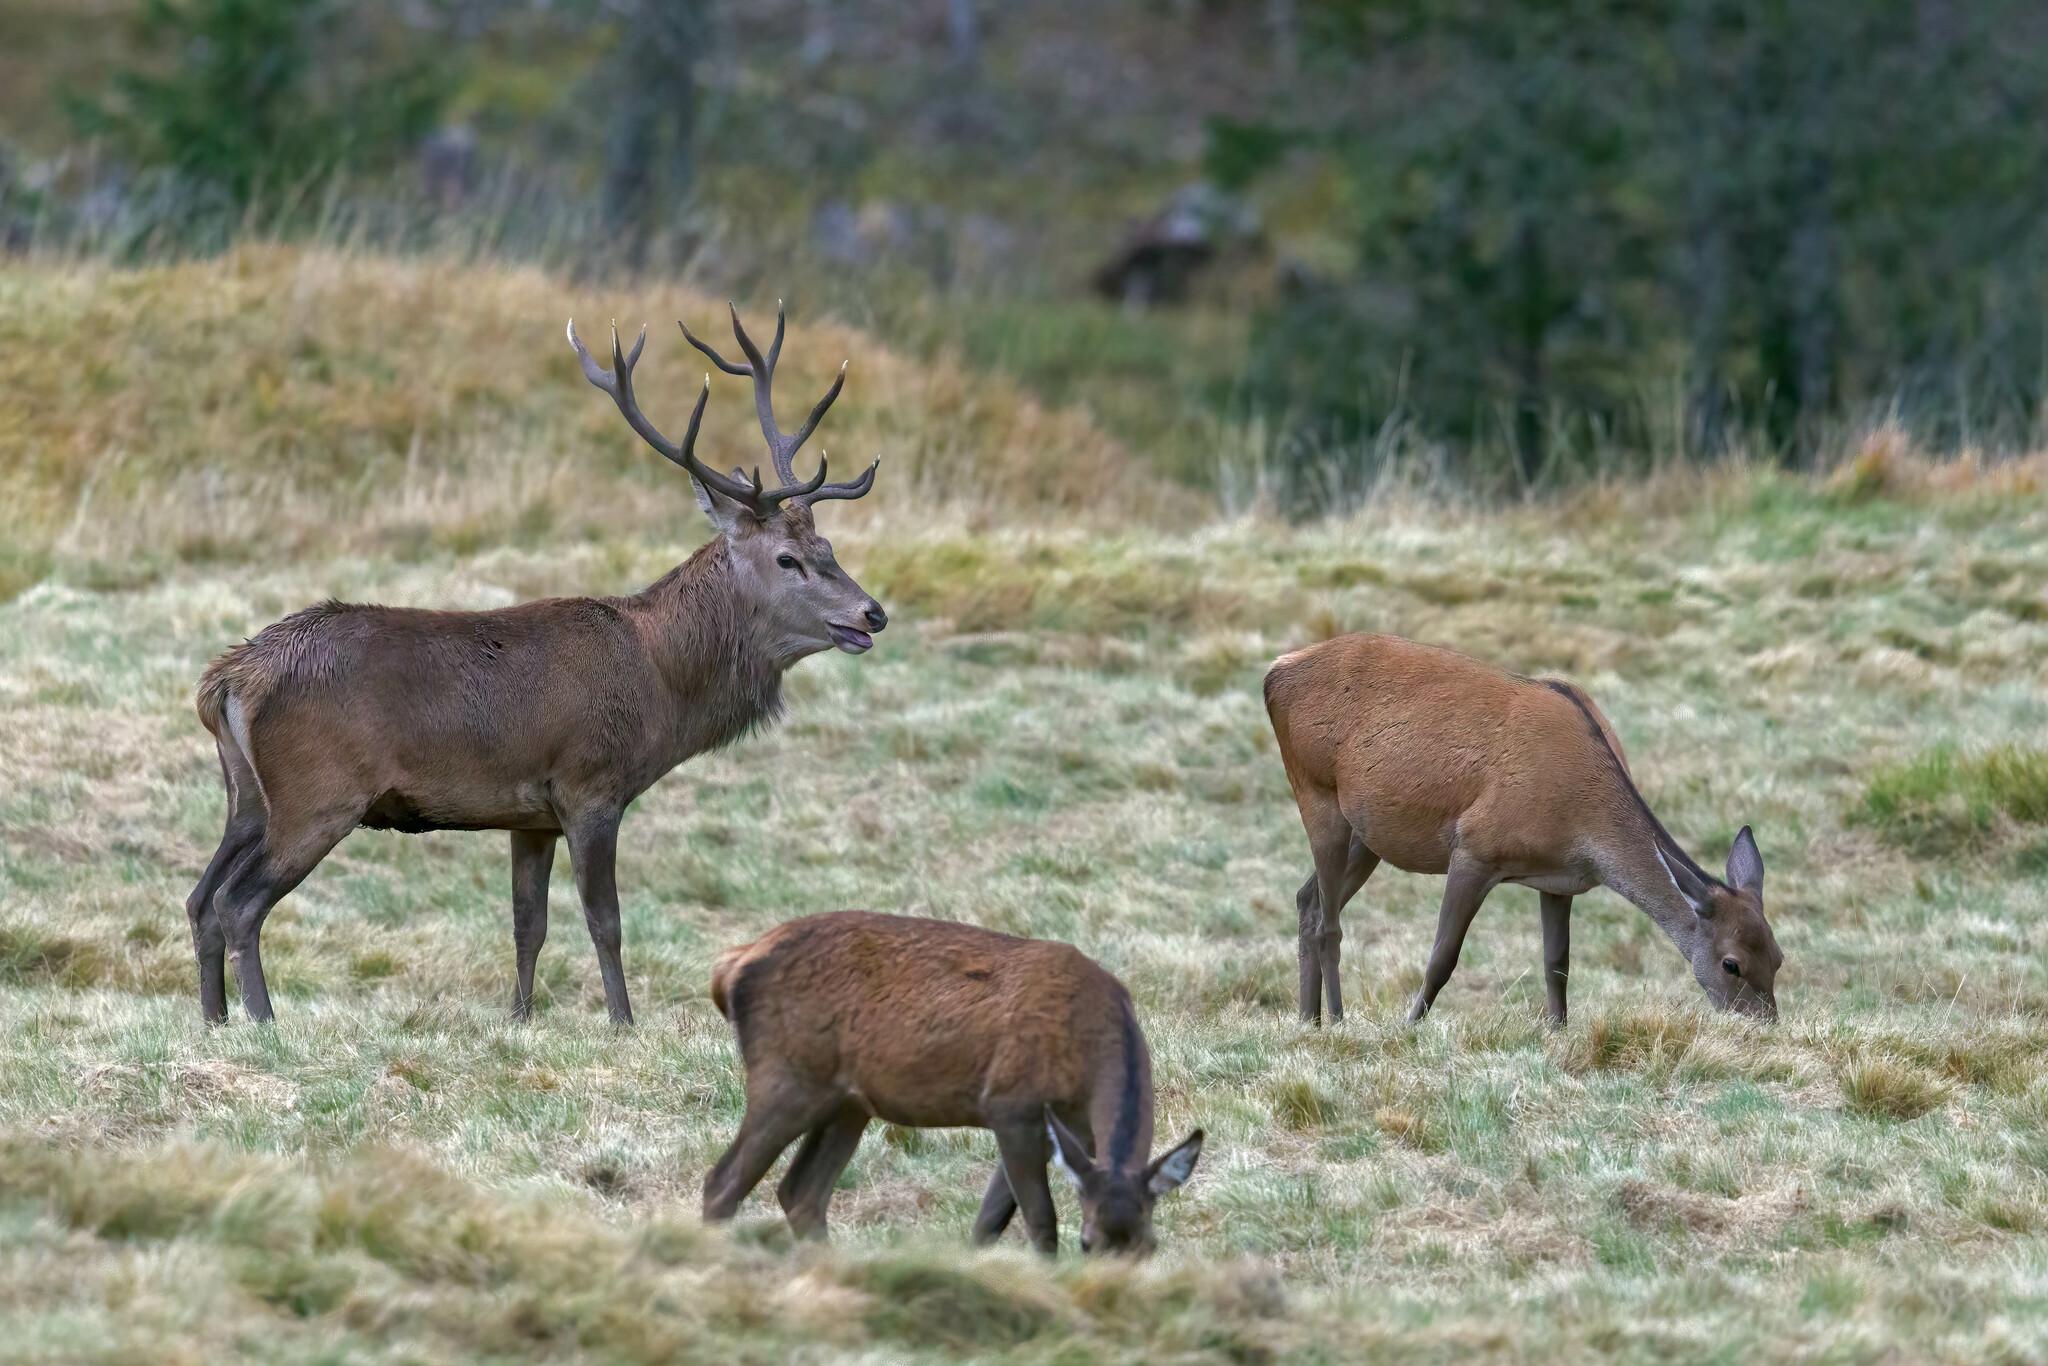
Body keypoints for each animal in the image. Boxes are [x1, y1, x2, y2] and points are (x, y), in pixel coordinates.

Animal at [184, 304, 887, 1026]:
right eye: (787, 559)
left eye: (830, 547)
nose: (872, 614)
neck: (660, 685)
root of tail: (227, 679)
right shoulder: (590, 784)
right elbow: (605, 921)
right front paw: (623, 1022)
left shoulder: (530, 815)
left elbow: (529, 924)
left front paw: (519, 1017)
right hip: (317, 793)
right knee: (238, 903)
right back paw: (265, 1023)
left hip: (246, 796)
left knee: (200, 899)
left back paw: (215, 1022)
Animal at [703, 911, 1205, 1255]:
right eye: (1086, 1242)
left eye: (1150, 1244)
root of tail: (731, 966)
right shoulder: (1010, 1104)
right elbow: (1040, 1221)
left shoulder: (1065, 1131)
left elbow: (988, 1223)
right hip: (785, 1077)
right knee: (722, 1182)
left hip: (847, 1103)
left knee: (801, 1192)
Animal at [1263, 633, 1782, 1028]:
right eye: (1731, 963)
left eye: (1778, 957)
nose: (1764, 1026)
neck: (1581, 822)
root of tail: (1274, 673)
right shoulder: (1475, 847)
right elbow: (1442, 958)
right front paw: (1409, 1026)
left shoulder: (1560, 880)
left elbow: (1558, 964)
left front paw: (1558, 1030)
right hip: (1314, 789)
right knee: (1329, 921)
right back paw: (1336, 1019)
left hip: (1366, 833)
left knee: (1308, 900)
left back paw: (1307, 1020)